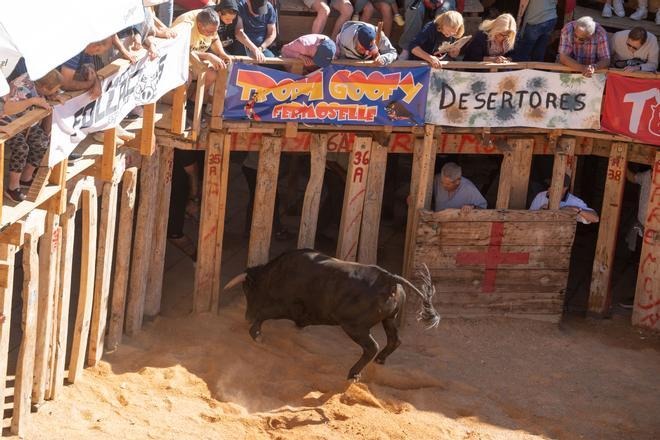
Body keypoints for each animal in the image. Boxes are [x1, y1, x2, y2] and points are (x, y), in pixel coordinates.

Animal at [224, 249, 440, 380]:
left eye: (248, 290)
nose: (247, 317)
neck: (276, 273)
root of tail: (388, 278)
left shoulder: (288, 307)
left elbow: (265, 313)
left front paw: (256, 334)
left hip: (355, 327)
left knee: (371, 347)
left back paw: (353, 373)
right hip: (389, 319)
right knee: (394, 340)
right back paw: (380, 360)